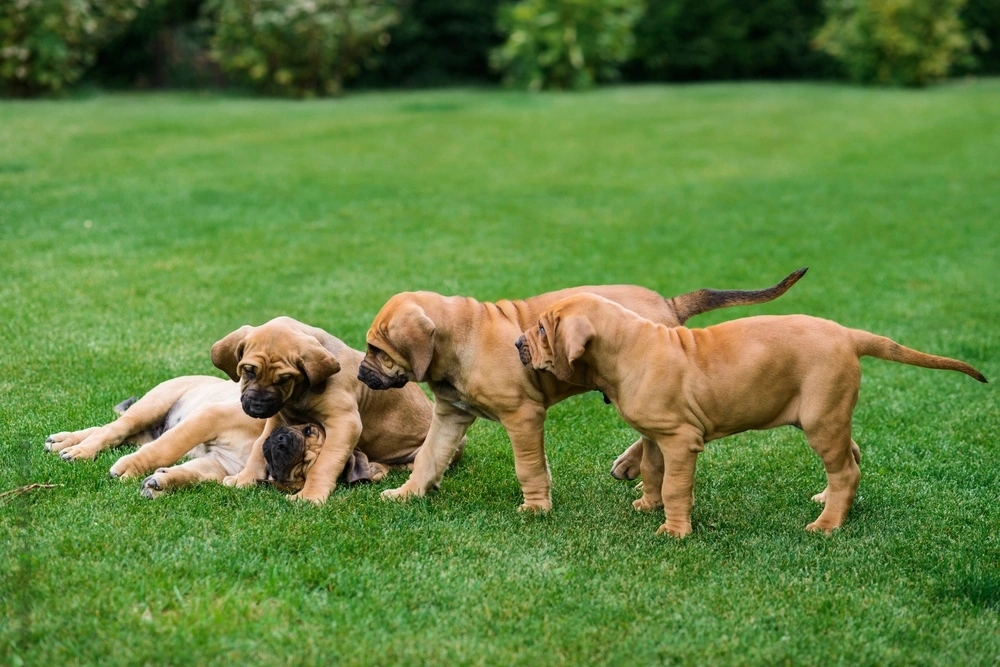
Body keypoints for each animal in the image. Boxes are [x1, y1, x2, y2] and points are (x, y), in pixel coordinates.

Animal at [46, 378, 266, 498]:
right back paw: (79, 450)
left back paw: (63, 441)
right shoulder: (208, 417)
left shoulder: (223, 464)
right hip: (152, 406)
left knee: (114, 433)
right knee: (113, 429)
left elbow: (192, 473)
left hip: (145, 431)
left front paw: (161, 482)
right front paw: (132, 468)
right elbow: (167, 449)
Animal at [217, 316, 456, 504]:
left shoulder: (344, 423)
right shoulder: (278, 419)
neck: (298, 394)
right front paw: (244, 479)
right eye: (249, 371)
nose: (257, 407)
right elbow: (259, 448)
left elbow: (325, 463)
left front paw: (310, 495)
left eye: (284, 379)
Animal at [520, 294, 988, 540]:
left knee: (845, 470)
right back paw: (830, 502)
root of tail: (848, 335)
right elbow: (653, 472)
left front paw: (674, 530)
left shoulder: (681, 441)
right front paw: (647, 504)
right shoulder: (655, 436)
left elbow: (675, 486)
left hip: (821, 420)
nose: (517, 345)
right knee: (851, 457)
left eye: (543, 330)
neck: (628, 348)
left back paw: (828, 524)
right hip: (830, 415)